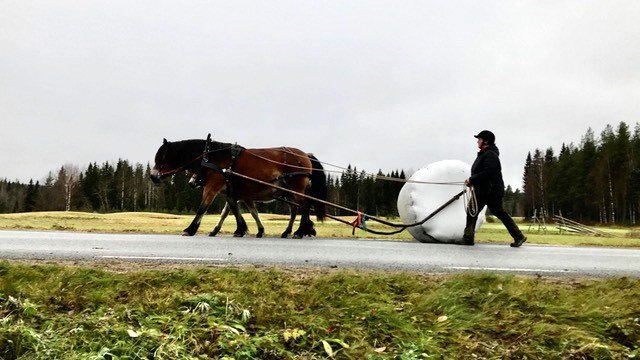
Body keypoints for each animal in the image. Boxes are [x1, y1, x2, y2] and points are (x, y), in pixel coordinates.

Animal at [149, 136, 324, 238]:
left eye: (161, 158)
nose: (152, 176)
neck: (211, 157)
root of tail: (305, 155)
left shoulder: (213, 186)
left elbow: (203, 208)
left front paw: (190, 229)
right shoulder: (232, 192)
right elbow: (233, 210)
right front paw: (240, 229)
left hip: (295, 189)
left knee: (304, 206)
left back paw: (299, 232)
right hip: (289, 192)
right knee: (296, 209)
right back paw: (294, 231)